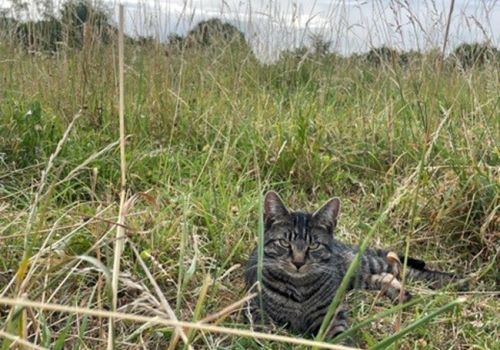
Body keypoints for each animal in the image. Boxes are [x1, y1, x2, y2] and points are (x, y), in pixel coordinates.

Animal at [244, 191, 466, 340]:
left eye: (314, 245)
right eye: (284, 243)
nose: (298, 263)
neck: (299, 290)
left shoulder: (332, 314)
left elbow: (339, 337)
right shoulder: (252, 307)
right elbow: (261, 325)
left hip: (362, 265)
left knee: (399, 267)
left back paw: (456, 281)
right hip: (354, 279)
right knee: (385, 275)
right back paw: (400, 293)